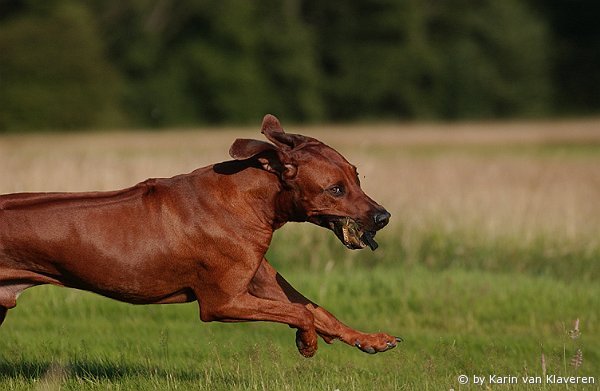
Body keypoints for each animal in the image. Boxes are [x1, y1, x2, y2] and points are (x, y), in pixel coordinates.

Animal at [1, 115, 404, 356]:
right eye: (335, 189)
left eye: (356, 176)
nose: (383, 217)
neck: (251, 199)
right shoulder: (222, 302)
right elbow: (299, 313)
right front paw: (306, 343)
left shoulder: (259, 281)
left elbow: (313, 308)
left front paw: (369, 339)